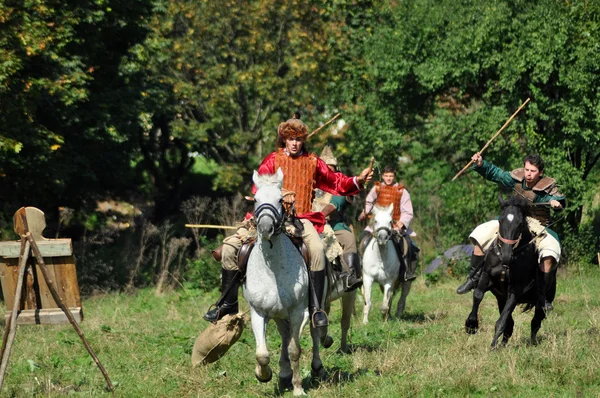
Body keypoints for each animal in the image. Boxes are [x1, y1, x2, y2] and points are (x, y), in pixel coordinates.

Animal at [244, 169, 326, 396]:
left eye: (281, 199)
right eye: (256, 199)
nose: (265, 228)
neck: (272, 270)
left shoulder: (298, 312)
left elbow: (294, 349)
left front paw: (298, 388)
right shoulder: (258, 312)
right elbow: (262, 353)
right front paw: (263, 374)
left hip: (315, 307)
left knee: (315, 332)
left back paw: (316, 368)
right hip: (279, 315)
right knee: (284, 334)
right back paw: (283, 374)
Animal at [466, 196, 556, 348]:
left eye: (520, 224)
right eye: (500, 221)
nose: (506, 256)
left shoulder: (516, 289)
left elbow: (502, 321)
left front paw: (492, 346)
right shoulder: (486, 276)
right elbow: (478, 295)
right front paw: (471, 325)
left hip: (542, 301)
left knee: (535, 321)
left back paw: (532, 342)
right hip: (501, 298)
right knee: (511, 324)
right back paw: (503, 344)